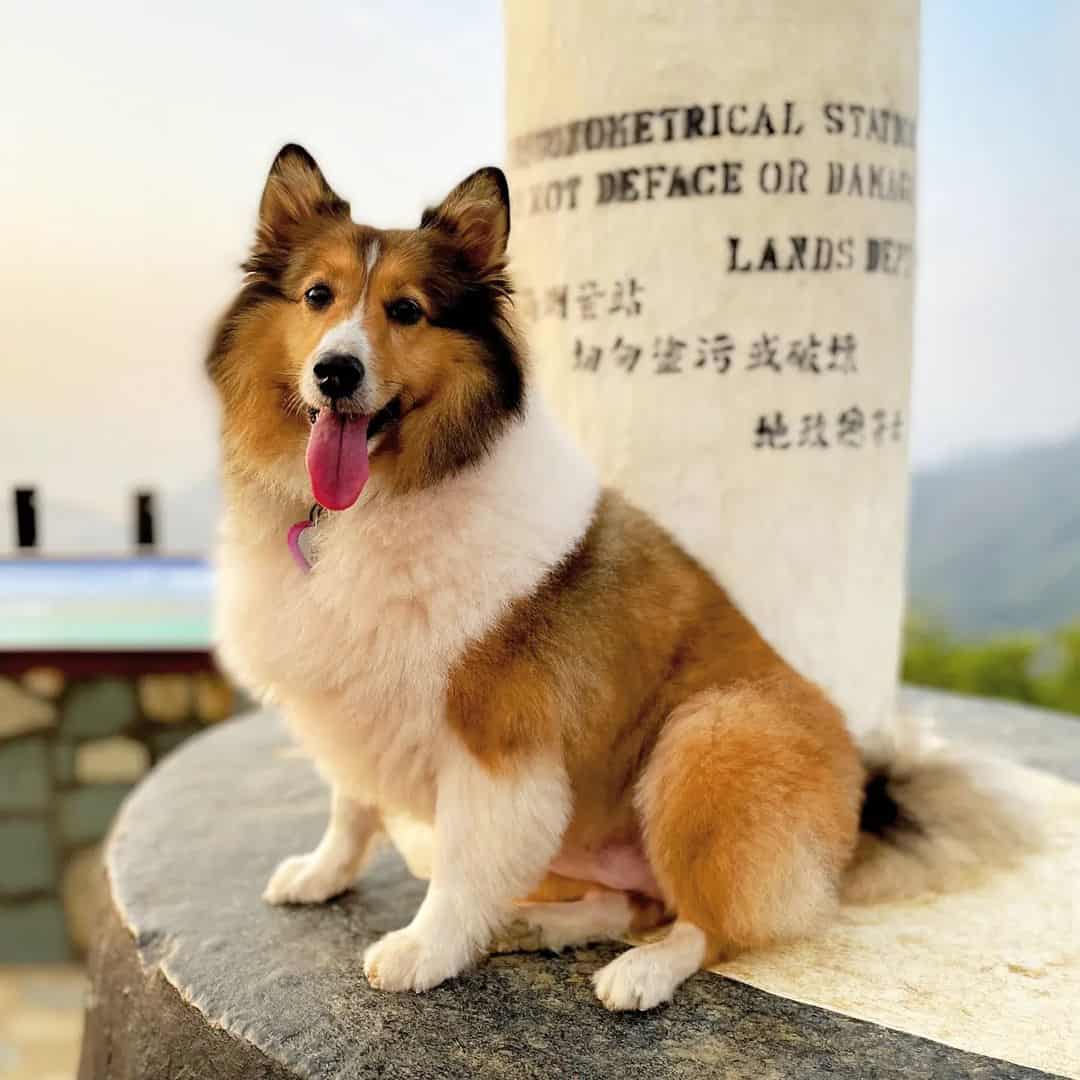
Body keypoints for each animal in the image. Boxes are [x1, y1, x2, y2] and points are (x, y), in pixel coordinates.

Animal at [208, 145, 1028, 1010]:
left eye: (406, 310)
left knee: (706, 924)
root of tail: (865, 799)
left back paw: (640, 972)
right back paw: (540, 925)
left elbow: (460, 863)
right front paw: (321, 875)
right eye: (317, 296)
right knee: (634, 901)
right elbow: (350, 805)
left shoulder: (494, 740)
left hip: (707, 737)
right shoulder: (352, 689)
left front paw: (423, 950)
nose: (335, 372)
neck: (383, 496)